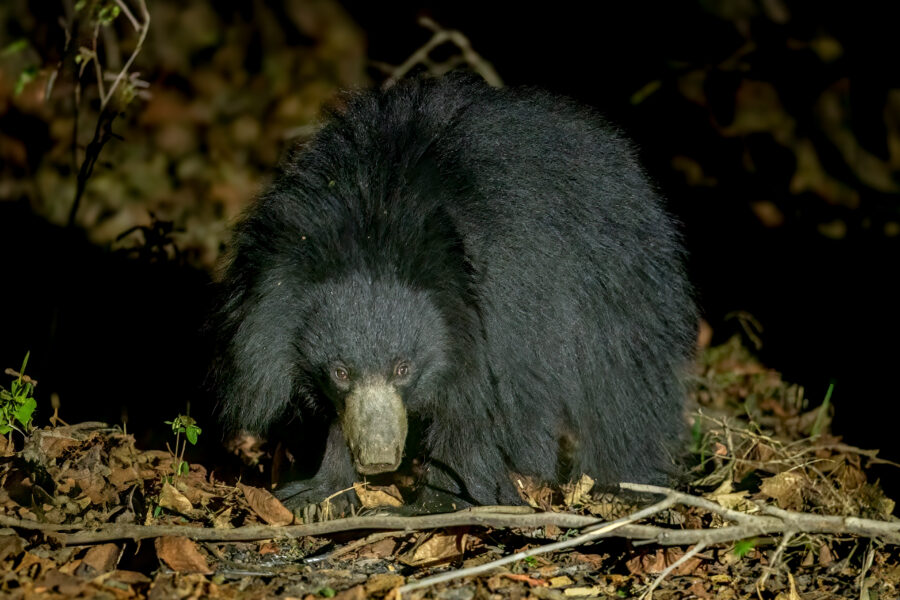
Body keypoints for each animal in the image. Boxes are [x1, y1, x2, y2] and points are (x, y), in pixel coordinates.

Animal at [210, 73, 696, 512]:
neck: (379, 221)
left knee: (620, 383)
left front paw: (439, 502)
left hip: (618, 281)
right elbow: (335, 416)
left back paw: (625, 485)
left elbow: (483, 409)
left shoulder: (507, 302)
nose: (379, 459)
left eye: (403, 369)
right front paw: (319, 495)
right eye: (341, 372)